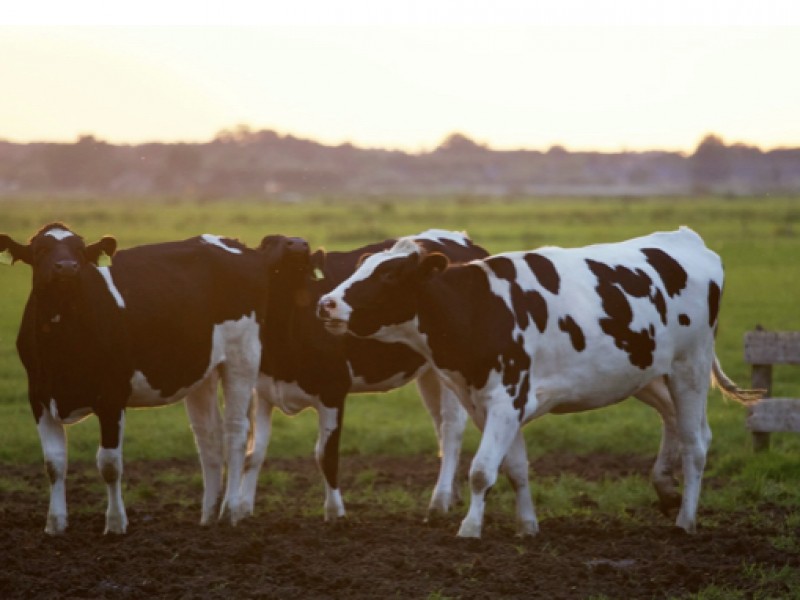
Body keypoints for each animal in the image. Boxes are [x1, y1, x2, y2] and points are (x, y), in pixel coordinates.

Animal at [0, 221, 310, 536]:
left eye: (79, 250)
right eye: (41, 250)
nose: (66, 267)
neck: (63, 343)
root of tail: (239, 246)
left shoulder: (112, 396)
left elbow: (109, 463)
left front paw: (115, 523)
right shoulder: (38, 396)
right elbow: (54, 463)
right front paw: (55, 524)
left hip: (242, 356)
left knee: (235, 432)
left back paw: (230, 511)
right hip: (202, 370)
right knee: (208, 437)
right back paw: (208, 515)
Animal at [234, 230, 490, 520]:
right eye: (268, 242)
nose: (298, 244)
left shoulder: (333, 390)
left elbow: (326, 455)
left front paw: (335, 513)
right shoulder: (262, 391)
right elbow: (254, 453)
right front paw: (242, 509)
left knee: (451, 429)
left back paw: (440, 500)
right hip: (432, 373)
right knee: (440, 427)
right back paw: (453, 495)